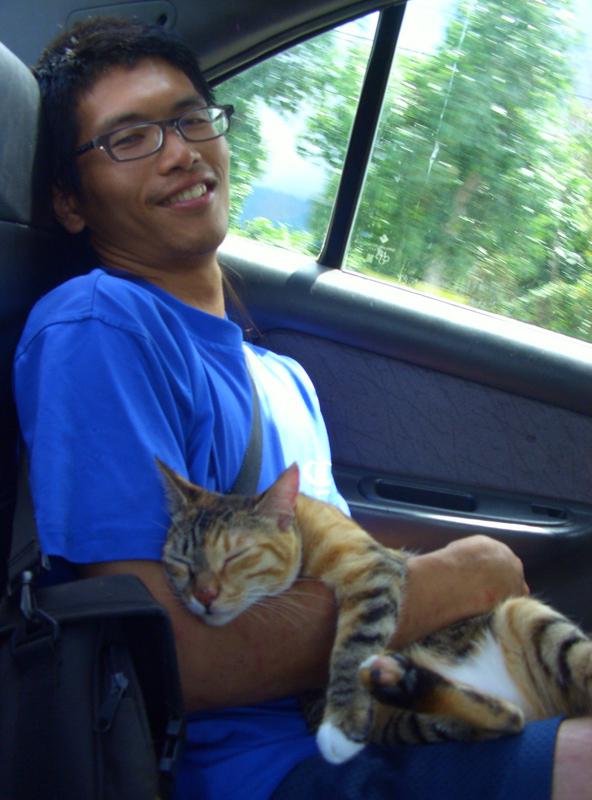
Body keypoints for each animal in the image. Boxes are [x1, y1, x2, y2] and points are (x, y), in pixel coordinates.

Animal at [157, 458, 592, 764]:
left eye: (236, 555)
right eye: (181, 561)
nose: (204, 594)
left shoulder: (369, 568)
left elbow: (354, 644)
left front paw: (341, 723)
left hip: (533, 620)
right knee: (509, 719)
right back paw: (403, 681)